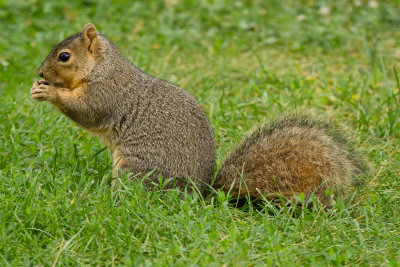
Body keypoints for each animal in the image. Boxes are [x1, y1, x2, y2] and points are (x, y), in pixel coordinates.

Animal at [30, 23, 368, 207]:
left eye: (64, 56)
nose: (40, 73)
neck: (101, 67)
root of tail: (200, 194)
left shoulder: (108, 93)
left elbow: (88, 112)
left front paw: (48, 93)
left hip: (135, 167)